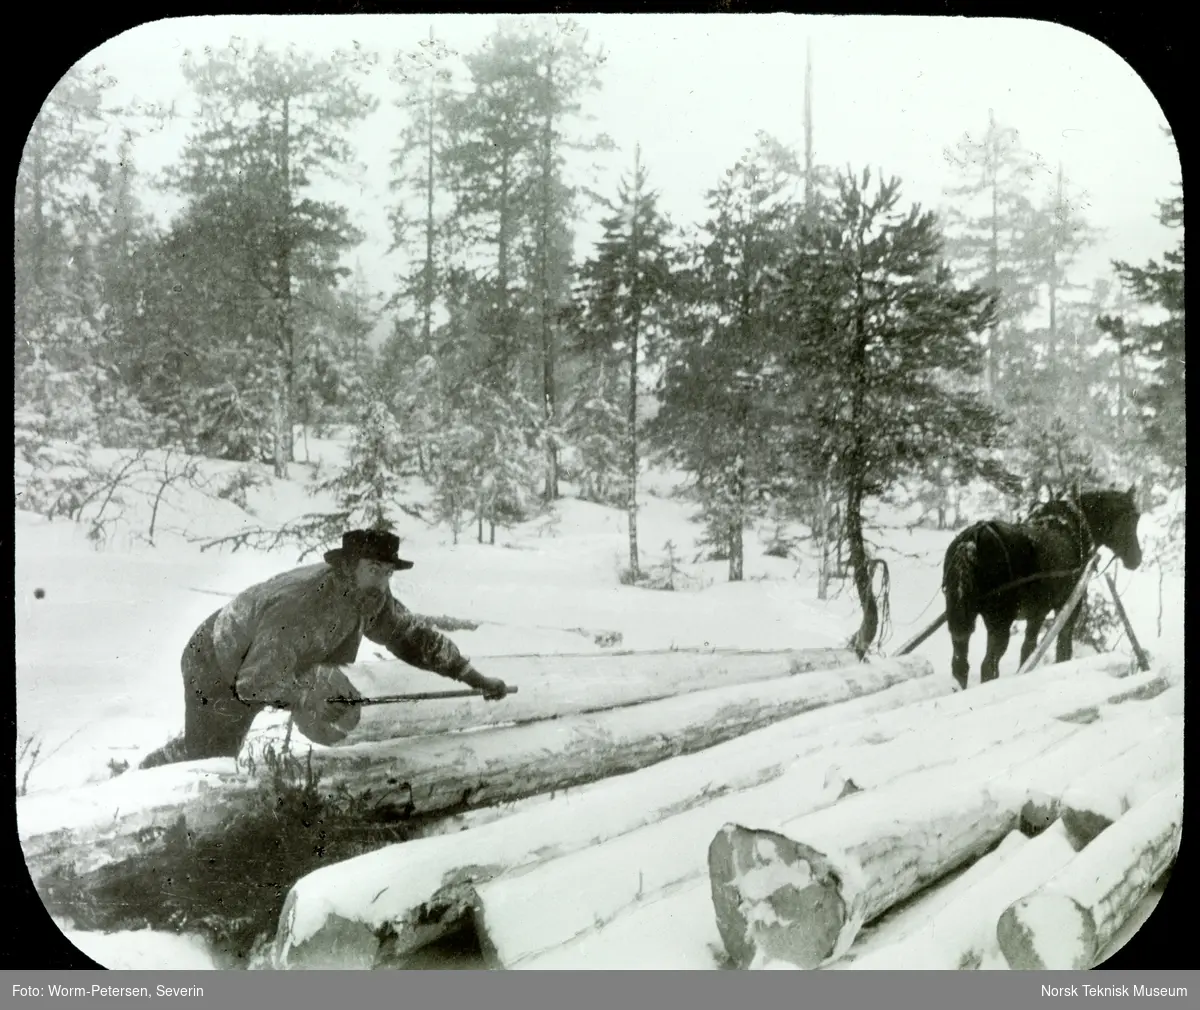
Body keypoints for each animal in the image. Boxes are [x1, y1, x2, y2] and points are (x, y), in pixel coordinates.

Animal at [936, 484, 1142, 690]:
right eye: (1133, 517)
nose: (1137, 559)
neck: (1075, 528)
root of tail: (971, 539)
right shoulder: (1069, 606)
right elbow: (1063, 648)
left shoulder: (1037, 613)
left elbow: (1028, 650)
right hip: (1000, 622)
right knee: (989, 667)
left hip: (961, 619)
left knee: (960, 665)